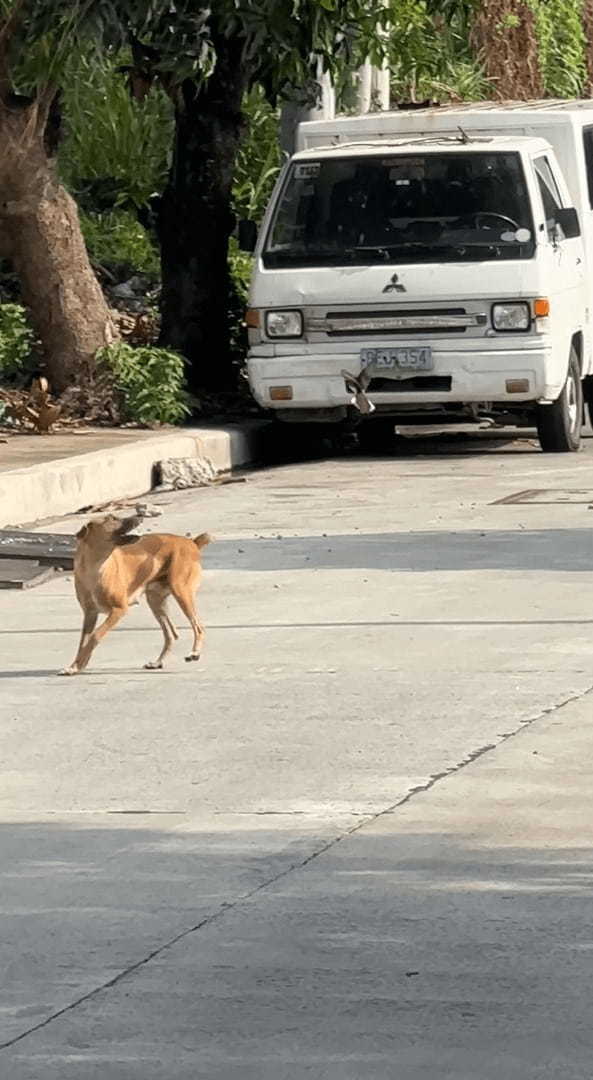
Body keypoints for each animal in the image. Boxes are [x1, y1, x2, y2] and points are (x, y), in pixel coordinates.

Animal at [60, 514, 211, 673]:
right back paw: (158, 662)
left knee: (198, 627)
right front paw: (75, 666)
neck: (95, 567)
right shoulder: (90, 614)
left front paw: (80, 663)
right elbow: (83, 642)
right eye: (111, 518)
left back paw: (194, 652)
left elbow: (95, 636)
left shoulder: (119, 609)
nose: (139, 517)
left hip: (181, 591)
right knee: (171, 634)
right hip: (155, 601)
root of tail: (192, 542)